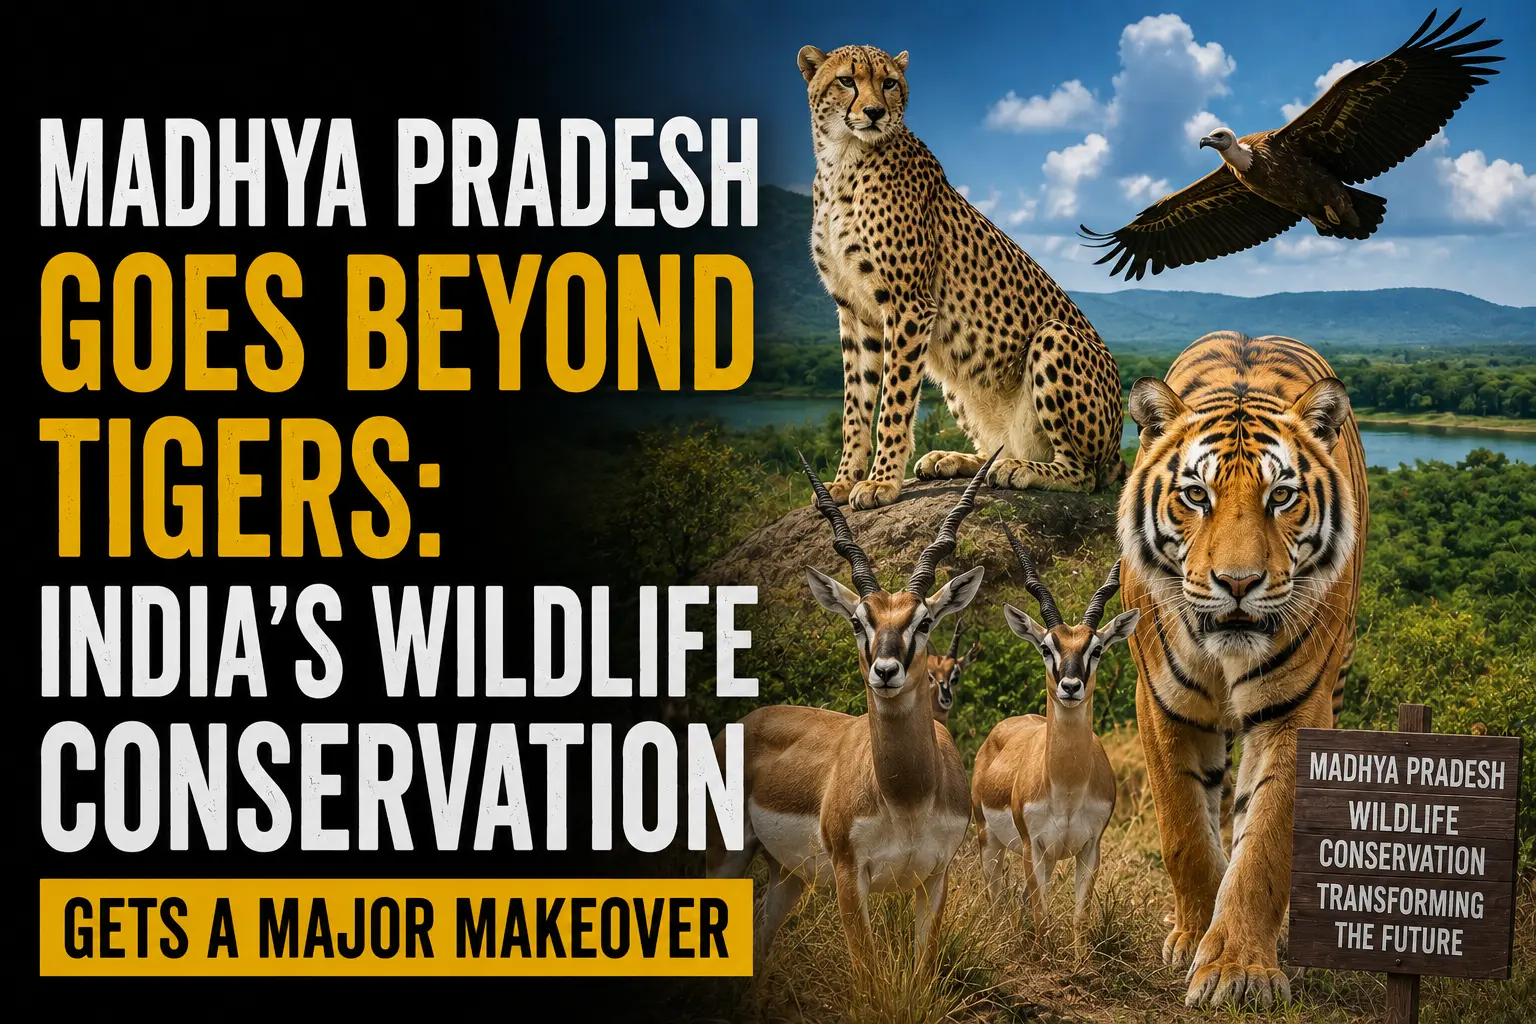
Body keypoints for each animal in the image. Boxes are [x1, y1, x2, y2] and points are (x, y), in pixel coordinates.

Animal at [1117, 331, 1369, 1009]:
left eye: (1280, 495)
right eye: (1195, 495)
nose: (1237, 583)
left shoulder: (1295, 712)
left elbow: (1263, 846)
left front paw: (1239, 968)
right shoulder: (1162, 702)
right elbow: (1184, 830)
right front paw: (1193, 937)